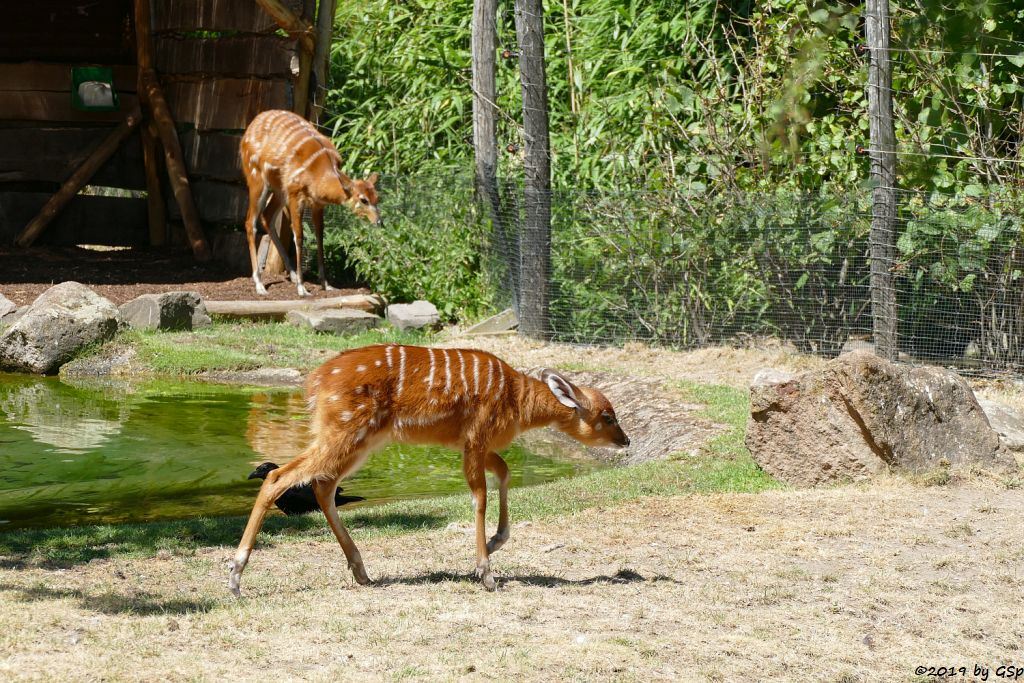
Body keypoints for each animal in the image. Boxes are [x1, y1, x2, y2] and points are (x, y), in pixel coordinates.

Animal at [229, 344, 626, 593]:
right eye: (607, 416)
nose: (626, 440)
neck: (518, 401)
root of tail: (314, 383)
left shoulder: (471, 445)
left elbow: (505, 472)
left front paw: (495, 543)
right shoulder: (476, 438)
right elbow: (479, 495)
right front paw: (486, 574)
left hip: (360, 441)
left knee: (322, 486)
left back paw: (362, 572)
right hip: (345, 432)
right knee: (278, 476)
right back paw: (235, 577)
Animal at [239, 109, 380, 296]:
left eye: (377, 198)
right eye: (363, 199)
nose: (378, 221)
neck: (319, 174)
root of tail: (249, 129)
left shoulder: (318, 204)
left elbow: (320, 236)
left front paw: (326, 284)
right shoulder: (295, 194)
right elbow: (299, 236)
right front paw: (302, 288)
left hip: (278, 189)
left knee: (267, 216)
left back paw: (291, 275)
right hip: (257, 179)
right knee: (250, 222)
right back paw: (260, 284)